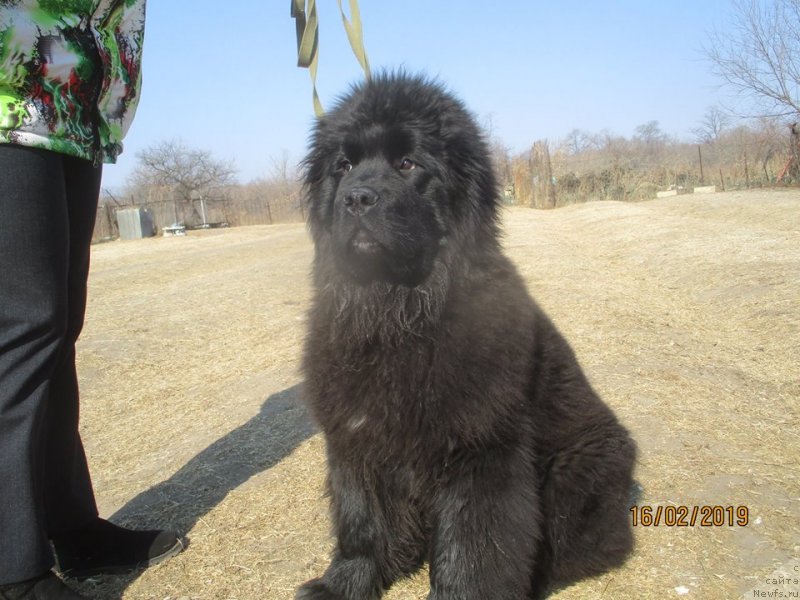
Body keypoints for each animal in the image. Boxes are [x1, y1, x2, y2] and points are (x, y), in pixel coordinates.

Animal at [296, 72, 636, 596]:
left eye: (408, 163)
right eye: (344, 166)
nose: (356, 197)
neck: (397, 314)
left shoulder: (480, 449)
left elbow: (473, 546)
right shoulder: (355, 440)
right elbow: (361, 522)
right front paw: (343, 584)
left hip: (578, 472)